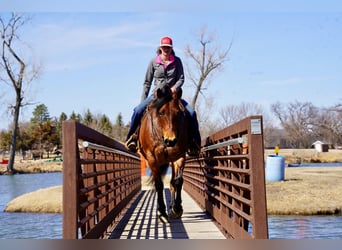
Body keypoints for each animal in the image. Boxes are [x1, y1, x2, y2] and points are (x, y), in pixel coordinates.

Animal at [138, 85, 191, 223]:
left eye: (178, 113)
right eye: (161, 112)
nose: (170, 140)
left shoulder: (180, 157)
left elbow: (178, 181)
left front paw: (177, 208)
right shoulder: (152, 160)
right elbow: (159, 185)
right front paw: (162, 212)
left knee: (172, 183)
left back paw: (173, 207)